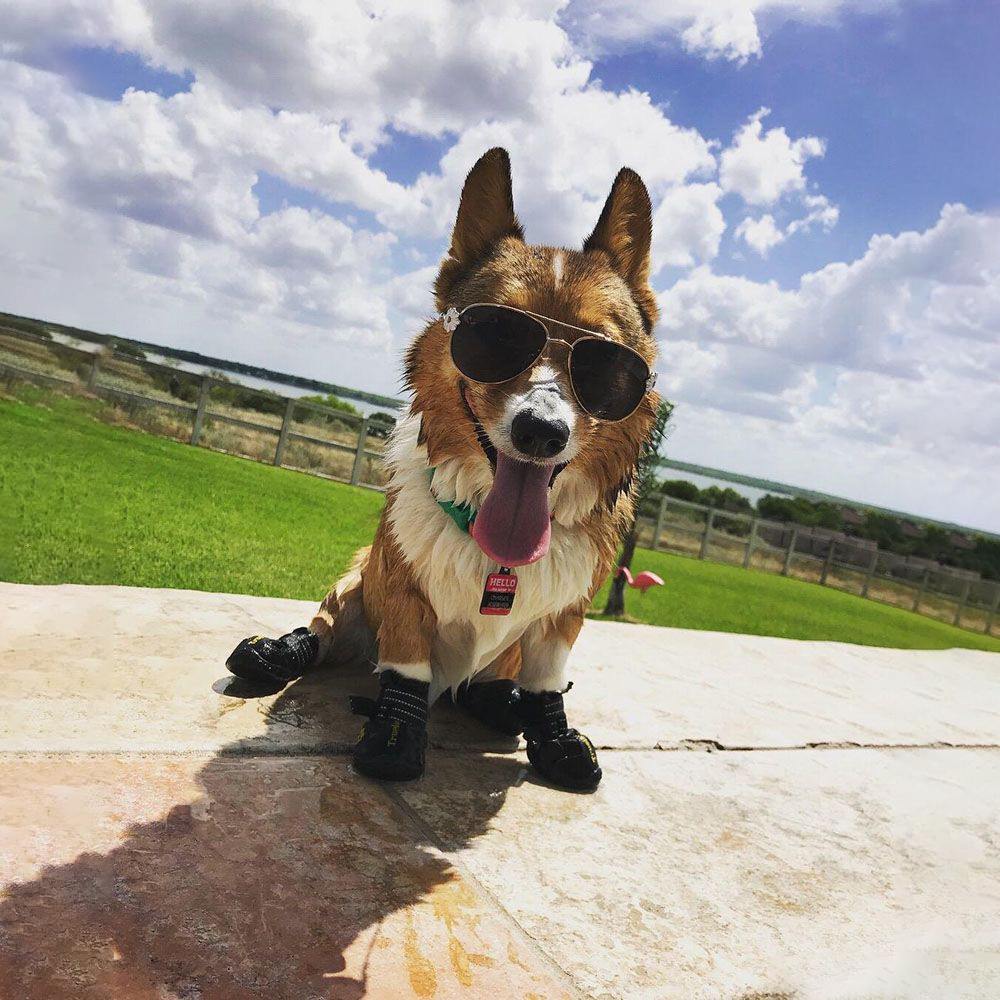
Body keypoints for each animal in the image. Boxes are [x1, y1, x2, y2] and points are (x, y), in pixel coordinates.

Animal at [229, 148, 660, 788]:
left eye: (606, 364)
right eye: (494, 334)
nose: (541, 432)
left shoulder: (561, 621)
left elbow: (546, 681)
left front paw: (554, 738)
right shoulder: (403, 592)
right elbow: (406, 669)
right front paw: (395, 737)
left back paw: (500, 706)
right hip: (356, 576)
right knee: (325, 632)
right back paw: (274, 653)